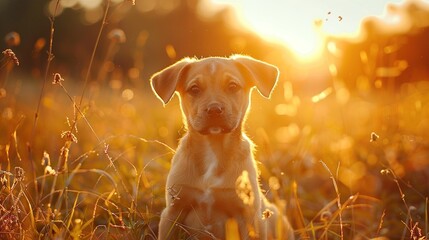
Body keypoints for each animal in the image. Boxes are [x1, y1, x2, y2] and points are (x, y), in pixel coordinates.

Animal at [150, 55, 294, 239]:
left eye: (232, 86)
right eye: (194, 89)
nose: (214, 109)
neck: (213, 148)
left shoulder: (247, 216)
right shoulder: (173, 211)